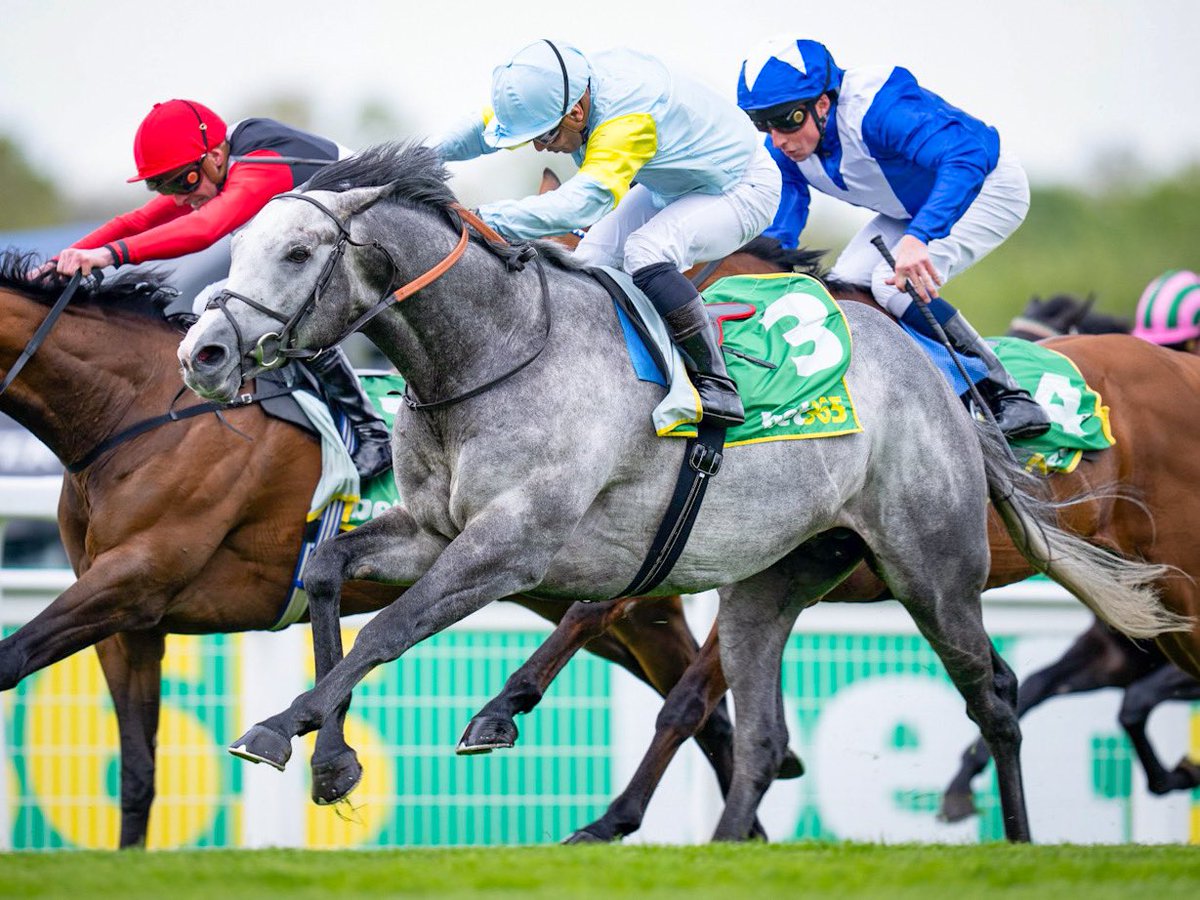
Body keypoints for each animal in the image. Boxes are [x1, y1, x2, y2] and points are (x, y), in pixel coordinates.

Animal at [0, 250, 758, 849]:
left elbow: (13, 657)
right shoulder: (130, 625)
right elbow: (136, 770)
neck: (140, 412)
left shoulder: (135, 582)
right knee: (705, 710)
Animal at [174, 142, 1185, 844]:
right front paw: (333, 761)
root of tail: (937, 382)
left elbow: (391, 629)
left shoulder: (512, 545)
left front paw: (280, 729)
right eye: (242, 247)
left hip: (932, 568)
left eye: (297, 253)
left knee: (998, 694)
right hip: (772, 584)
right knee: (766, 731)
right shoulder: (433, 528)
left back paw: (1015, 841)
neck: (496, 354)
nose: (203, 353)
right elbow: (329, 573)